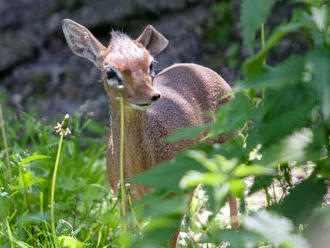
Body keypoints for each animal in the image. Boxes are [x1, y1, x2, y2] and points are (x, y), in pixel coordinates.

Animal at [62, 18, 236, 246]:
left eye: (151, 64)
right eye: (110, 71)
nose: (151, 95)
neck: (140, 170)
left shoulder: (170, 197)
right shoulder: (123, 201)